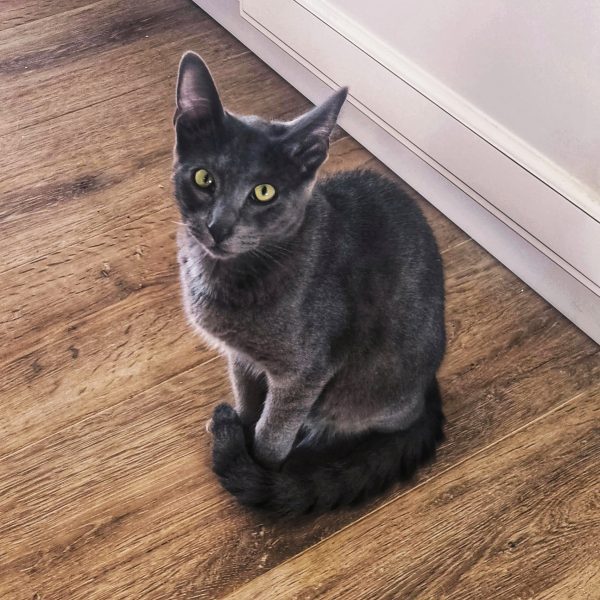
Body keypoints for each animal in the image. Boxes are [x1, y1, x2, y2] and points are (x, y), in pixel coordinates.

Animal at [173, 51, 446, 515]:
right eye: (203, 179)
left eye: (264, 192)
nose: (218, 227)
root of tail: (428, 388)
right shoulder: (242, 357)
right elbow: (248, 400)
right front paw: (239, 430)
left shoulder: (304, 374)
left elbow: (272, 432)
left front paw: (258, 470)